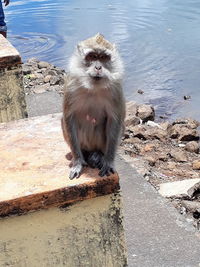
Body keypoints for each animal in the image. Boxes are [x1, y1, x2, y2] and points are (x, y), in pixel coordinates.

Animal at [61, 33, 126, 180]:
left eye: (103, 58)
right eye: (91, 56)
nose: (98, 68)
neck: (93, 88)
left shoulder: (115, 89)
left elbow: (115, 120)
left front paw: (108, 162)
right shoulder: (71, 85)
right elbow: (68, 118)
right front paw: (78, 162)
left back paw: (98, 155)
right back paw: (84, 154)